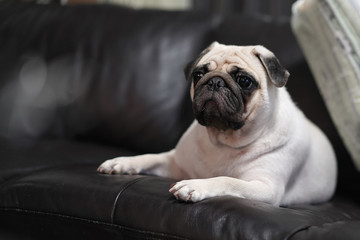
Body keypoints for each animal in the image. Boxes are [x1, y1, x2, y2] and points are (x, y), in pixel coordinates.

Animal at [97, 41, 336, 206]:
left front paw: (195, 185)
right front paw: (121, 163)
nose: (215, 81)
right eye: (198, 74)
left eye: (244, 81)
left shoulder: (265, 188)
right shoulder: (175, 163)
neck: (225, 139)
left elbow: (227, 180)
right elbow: (150, 157)